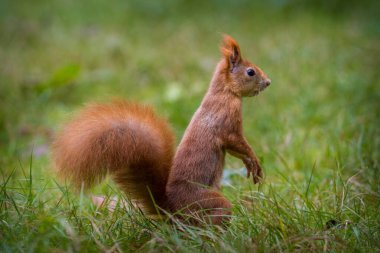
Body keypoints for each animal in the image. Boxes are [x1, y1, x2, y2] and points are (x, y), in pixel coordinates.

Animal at [52, 34, 272, 225]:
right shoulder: (227, 121)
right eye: (250, 72)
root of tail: (171, 209)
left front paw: (250, 163)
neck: (224, 92)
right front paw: (254, 162)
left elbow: (235, 149)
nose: (268, 82)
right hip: (208, 202)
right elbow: (237, 142)